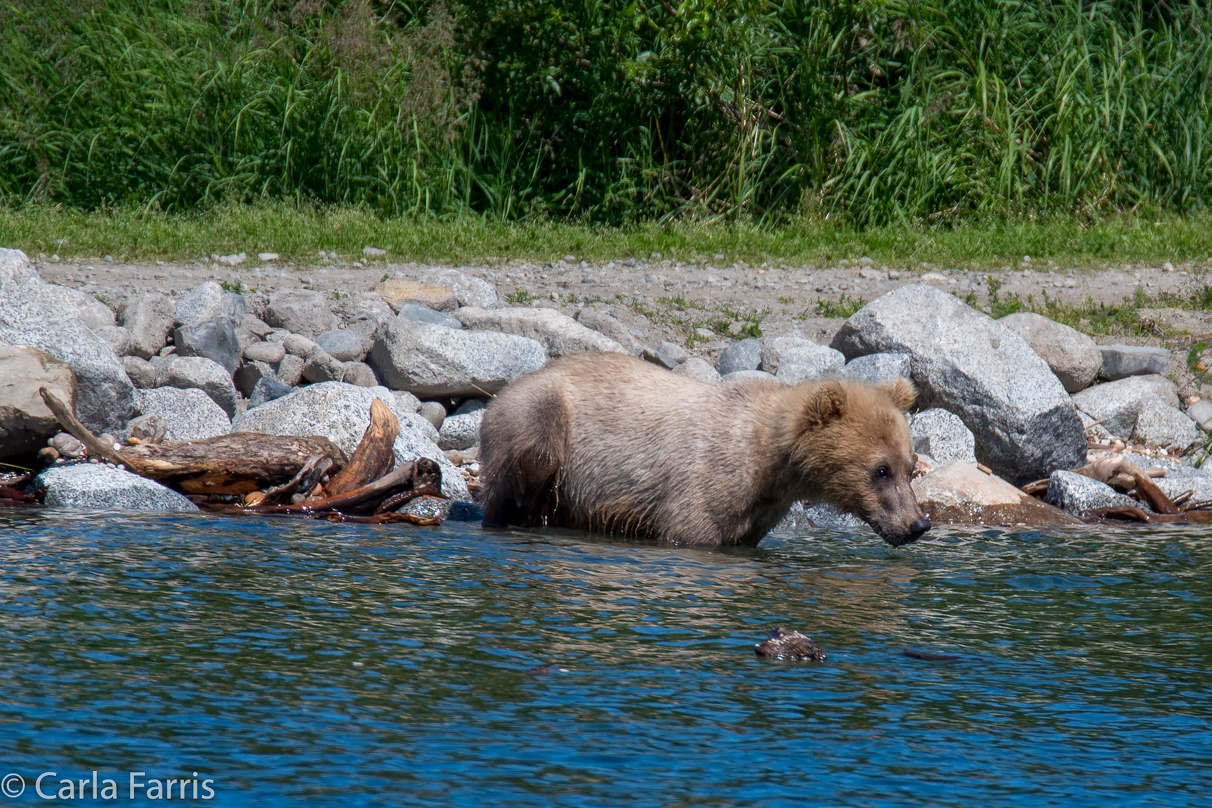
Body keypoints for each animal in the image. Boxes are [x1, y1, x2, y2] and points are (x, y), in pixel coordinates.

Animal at [475, 353, 925, 549]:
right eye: (880, 469)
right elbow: (691, 530)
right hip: (540, 418)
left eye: (910, 466)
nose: (918, 524)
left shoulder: (757, 513)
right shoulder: (702, 485)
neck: (767, 464)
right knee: (528, 469)